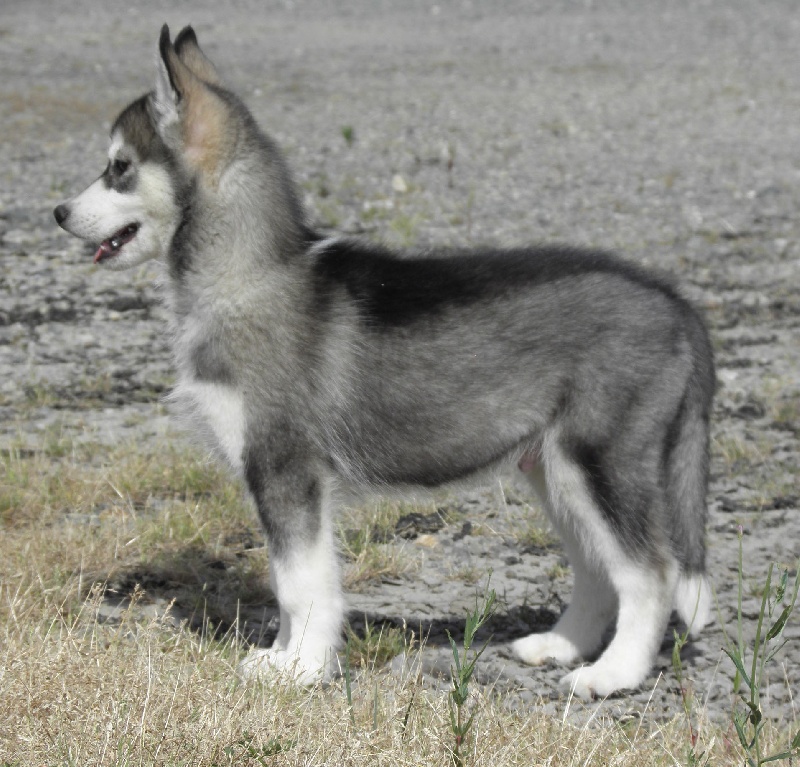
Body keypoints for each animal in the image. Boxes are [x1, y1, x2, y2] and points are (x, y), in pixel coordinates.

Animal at [53, 25, 715, 698]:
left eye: (119, 167)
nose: (58, 213)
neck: (249, 274)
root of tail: (672, 299)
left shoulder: (285, 468)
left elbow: (300, 583)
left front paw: (302, 670)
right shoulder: (288, 480)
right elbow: (293, 580)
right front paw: (284, 657)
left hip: (600, 461)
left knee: (650, 572)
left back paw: (614, 674)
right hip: (555, 468)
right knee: (598, 569)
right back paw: (560, 646)